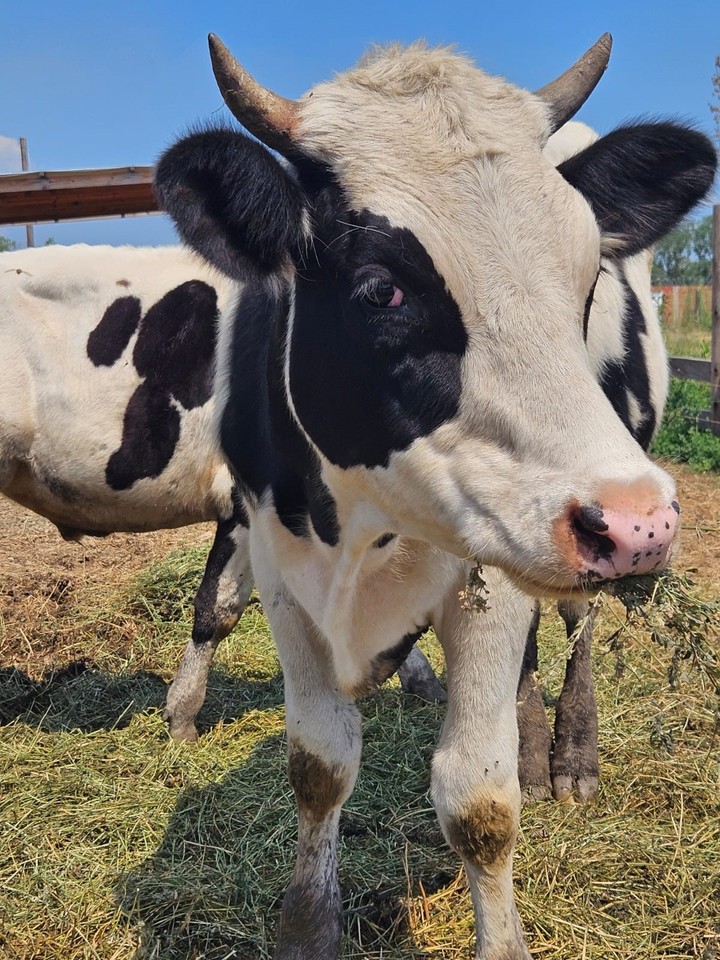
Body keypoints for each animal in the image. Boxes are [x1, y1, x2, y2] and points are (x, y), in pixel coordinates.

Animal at [152, 33, 716, 960]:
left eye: (588, 276)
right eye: (382, 287)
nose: (642, 521)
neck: (364, 525)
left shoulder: (487, 581)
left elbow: (479, 802)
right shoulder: (280, 570)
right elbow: (318, 764)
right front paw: (307, 924)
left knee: (577, 624)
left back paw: (569, 754)